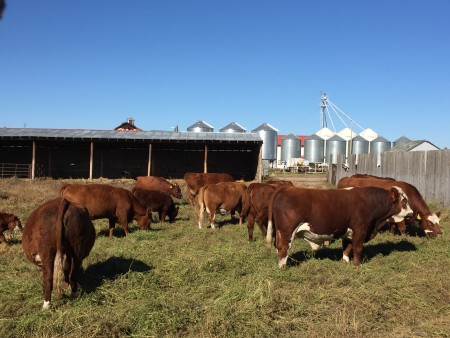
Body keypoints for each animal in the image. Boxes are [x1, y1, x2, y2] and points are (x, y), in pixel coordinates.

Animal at [266, 186, 414, 268]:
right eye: (404, 200)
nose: (412, 213)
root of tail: (286, 188)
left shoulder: (348, 232)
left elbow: (347, 247)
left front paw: (345, 262)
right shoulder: (360, 229)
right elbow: (358, 248)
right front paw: (357, 266)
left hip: (279, 232)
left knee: (278, 248)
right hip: (287, 231)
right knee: (284, 248)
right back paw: (283, 268)